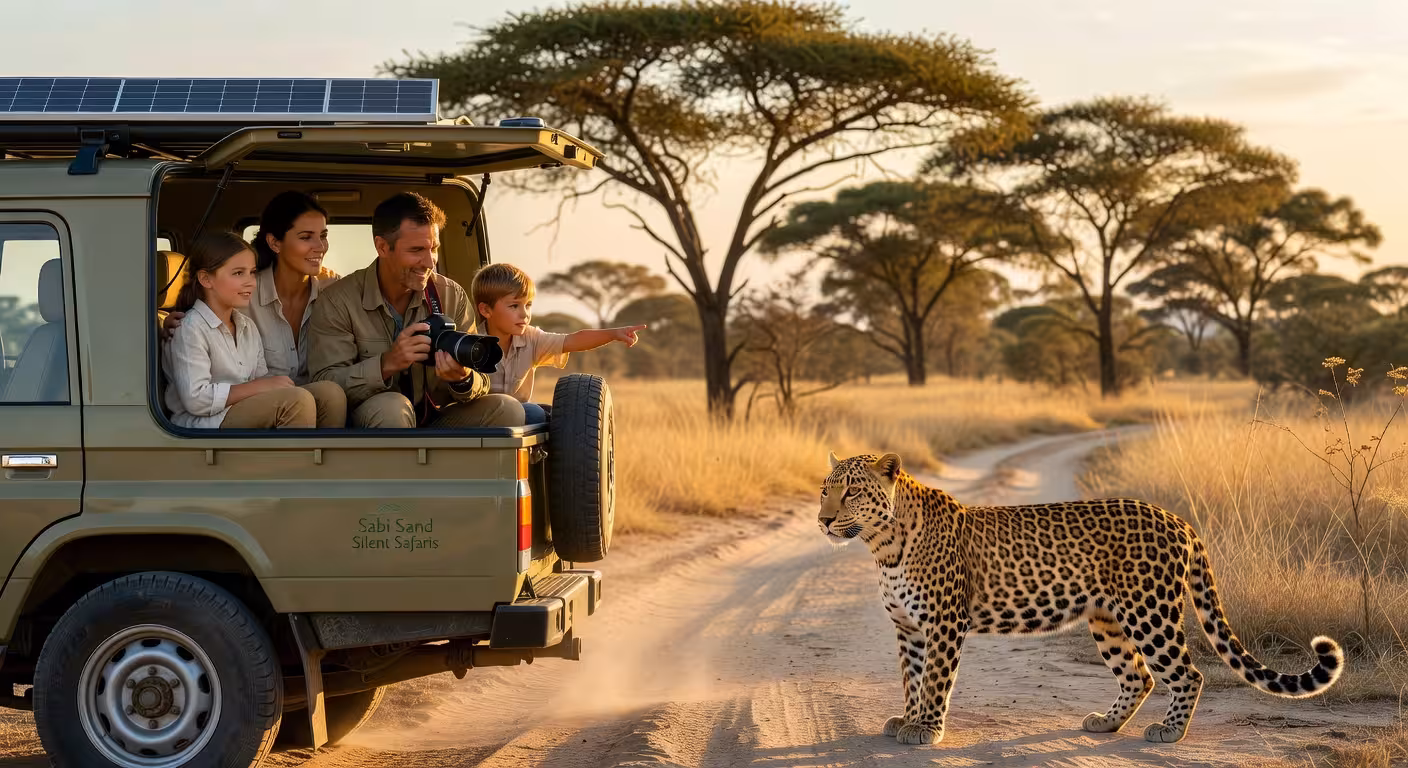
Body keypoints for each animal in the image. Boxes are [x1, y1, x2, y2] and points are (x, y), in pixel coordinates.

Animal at [819, 450, 1344, 746]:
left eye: (852, 492)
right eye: (825, 490)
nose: (822, 520)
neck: (882, 545)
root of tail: (1178, 519)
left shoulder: (944, 623)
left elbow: (933, 680)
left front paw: (926, 729)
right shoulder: (908, 628)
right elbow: (911, 678)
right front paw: (907, 719)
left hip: (1150, 613)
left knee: (1186, 673)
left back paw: (1170, 732)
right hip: (1107, 619)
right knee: (1138, 676)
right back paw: (1107, 724)